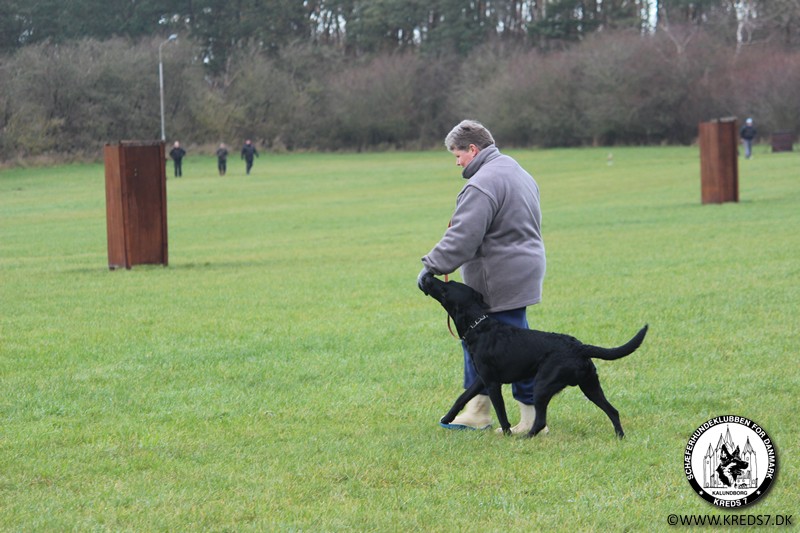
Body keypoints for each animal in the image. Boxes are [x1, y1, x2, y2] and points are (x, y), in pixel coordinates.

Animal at [419, 272, 648, 438]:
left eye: (446, 288)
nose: (427, 275)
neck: (479, 326)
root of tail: (580, 346)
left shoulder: (492, 383)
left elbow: (501, 411)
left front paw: (507, 433)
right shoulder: (481, 379)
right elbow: (462, 397)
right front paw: (447, 418)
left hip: (543, 385)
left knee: (540, 420)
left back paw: (525, 437)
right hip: (590, 385)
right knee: (613, 410)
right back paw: (619, 436)